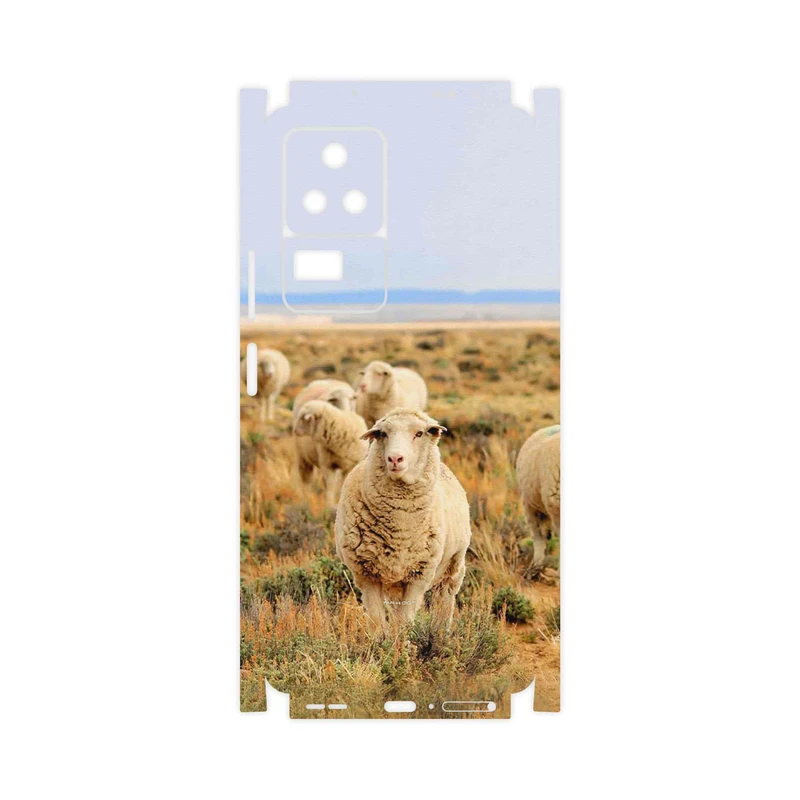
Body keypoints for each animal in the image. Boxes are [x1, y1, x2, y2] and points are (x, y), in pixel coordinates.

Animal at [335, 408, 471, 633]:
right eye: (383, 434)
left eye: (419, 433)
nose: (395, 458)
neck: (400, 527)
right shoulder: (366, 575)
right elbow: (377, 621)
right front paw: (381, 641)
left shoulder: (419, 575)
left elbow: (405, 621)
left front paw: (403, 642)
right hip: (393, 582)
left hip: (453, 565)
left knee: (445, 599)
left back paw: (440, 633)